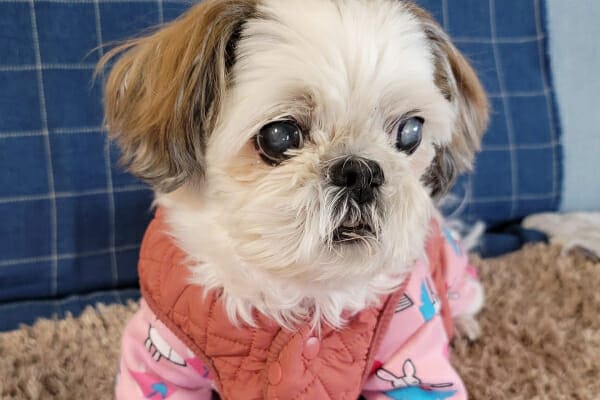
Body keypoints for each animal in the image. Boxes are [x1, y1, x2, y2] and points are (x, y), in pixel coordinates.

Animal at [99, 1, 488, 398]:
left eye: (410, 132)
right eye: (279, 135)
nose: (361, 172)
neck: (301, 286)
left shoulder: (411, 353)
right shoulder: (162, 358)